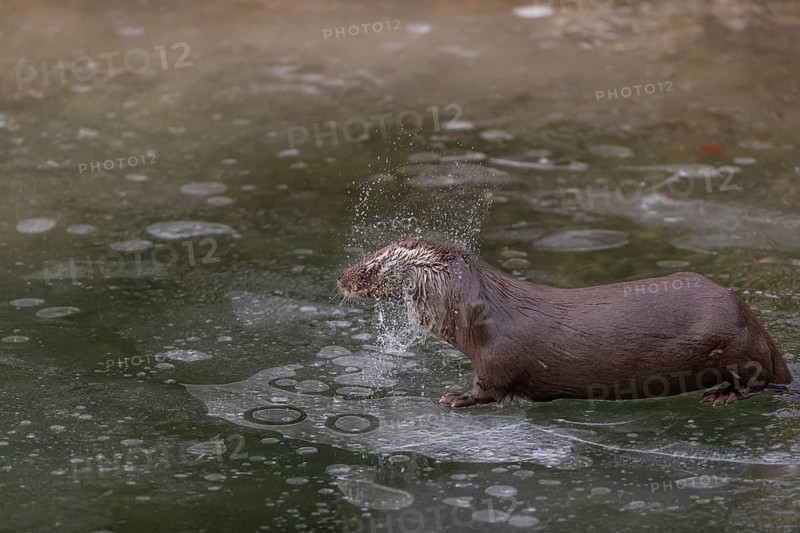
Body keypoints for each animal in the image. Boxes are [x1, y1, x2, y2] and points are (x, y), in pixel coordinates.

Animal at [337, 237, 794, 407]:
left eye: (373, 267)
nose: (342, 277)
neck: (483, 315)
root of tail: (755, 323)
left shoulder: (496, 358)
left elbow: (489, 389)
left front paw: (456, 396)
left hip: (734, 343)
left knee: (757, 380)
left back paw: (721, 396)